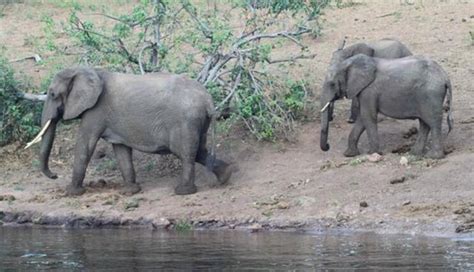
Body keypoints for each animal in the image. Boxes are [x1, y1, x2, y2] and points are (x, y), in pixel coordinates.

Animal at [30, 68, 233, 196]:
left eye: (52, 94)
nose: (54, 175)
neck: (89, 71)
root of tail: (208, 100)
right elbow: (121, 151)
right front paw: (130, 192)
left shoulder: (95, 111)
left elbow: (85, 145)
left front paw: (72, 193)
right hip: (197, 121)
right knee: (199, 150)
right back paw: (226, 176)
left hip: (185, 120)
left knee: (185, 153)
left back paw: (183, 191)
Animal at [320, 53, 454, 159]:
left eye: (332, 84)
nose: (328, 146)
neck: (349, 63)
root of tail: (445, 75)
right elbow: (363, 118)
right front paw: (349, 154)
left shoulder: (369, 91)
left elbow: (368, 116)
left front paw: (373, 153)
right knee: (424, 123)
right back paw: (415, 153)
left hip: (431, 95)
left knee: (433, 122)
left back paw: (433, 157)